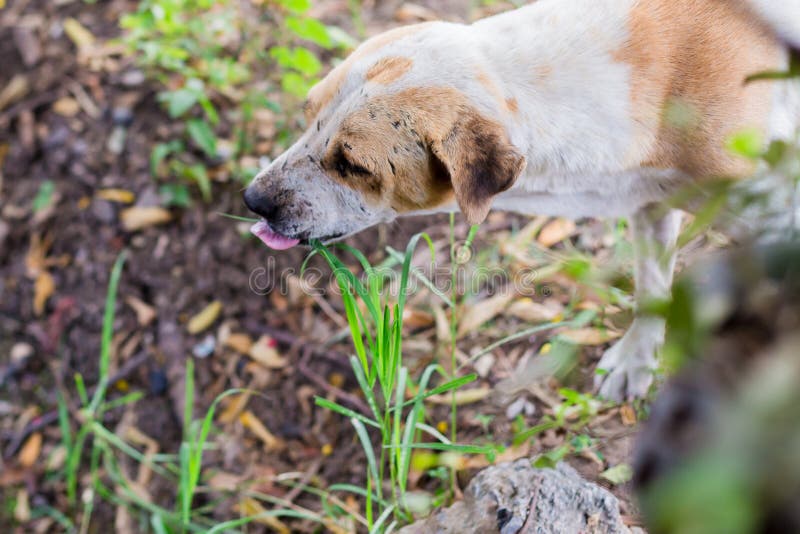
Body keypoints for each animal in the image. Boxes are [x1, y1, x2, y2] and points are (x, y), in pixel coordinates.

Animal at [244, 1, 800, 402]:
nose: (252, 200)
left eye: (352, 164)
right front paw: (638, 359)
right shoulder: (652, 205)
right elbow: (653, 287)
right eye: (308, 115)